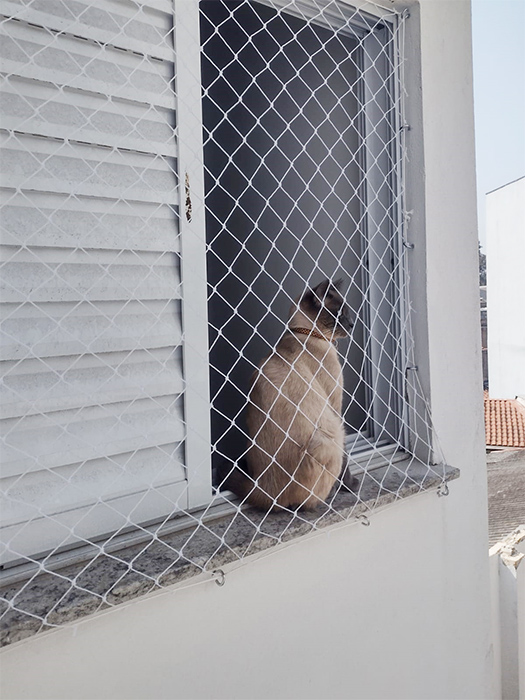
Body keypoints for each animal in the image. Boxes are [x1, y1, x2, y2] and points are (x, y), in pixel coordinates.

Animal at [222, 276, 356, 512]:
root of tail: (263, 492)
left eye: (347, 313)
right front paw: (350, 486)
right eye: (340, 313)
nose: (352, 324)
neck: (305, 332)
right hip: (332, 434)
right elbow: (346, 460)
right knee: (306, 504)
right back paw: (327, 496)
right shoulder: (335, 407)